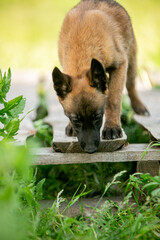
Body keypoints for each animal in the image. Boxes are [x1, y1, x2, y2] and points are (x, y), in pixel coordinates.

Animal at [52, 0, 149, 153]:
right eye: (76, 120)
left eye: (97, 117)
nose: (90, 149)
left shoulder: (120, 65)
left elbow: (113, 100)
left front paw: (112, 128)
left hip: (131, 61)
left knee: (131, 85)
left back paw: (139, 107)